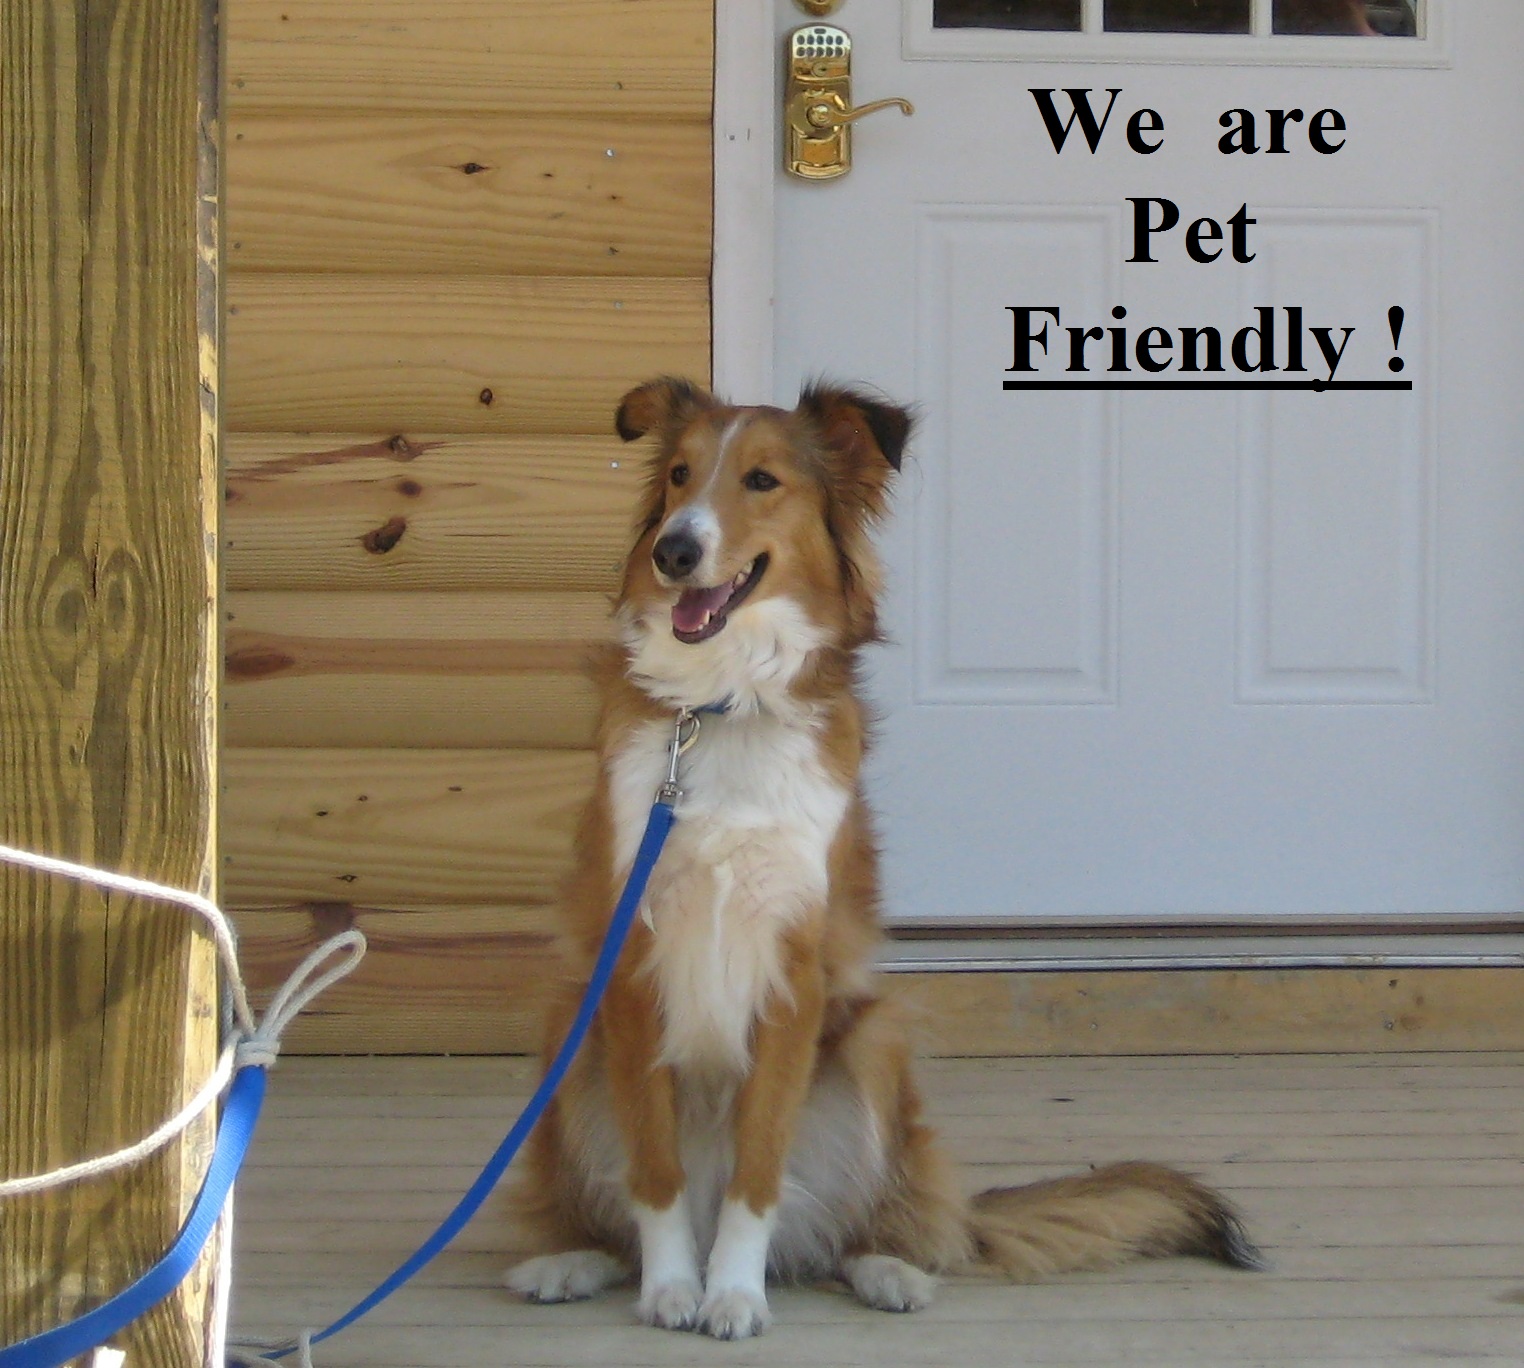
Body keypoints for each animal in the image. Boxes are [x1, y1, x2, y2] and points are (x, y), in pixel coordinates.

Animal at [505, 377, 1255, 1340]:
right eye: (676, 477)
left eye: (761, 480)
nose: (675, 551)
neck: (723, 706)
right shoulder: (631, 961)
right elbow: (654, 1167)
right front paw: (675, 1287)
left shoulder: (795, 966)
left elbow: (759, 1170)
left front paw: (733, 1293)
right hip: (572, 1030)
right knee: (608, 1206)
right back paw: (568, 1261)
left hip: (872, 1040)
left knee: (859, 1228)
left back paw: (888, 1268)